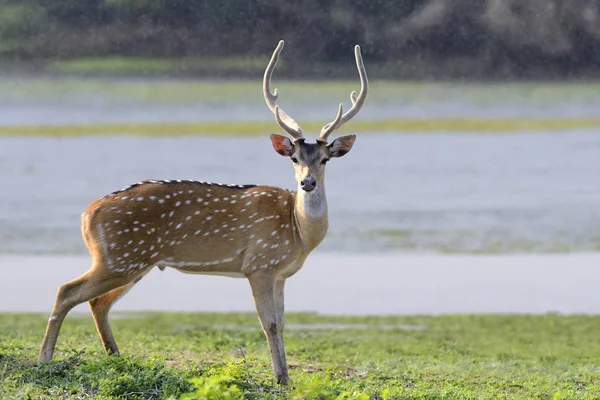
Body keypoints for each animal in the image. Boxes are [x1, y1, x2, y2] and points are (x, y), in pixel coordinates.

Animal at [39, 39, 368, 384]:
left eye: (325, 159)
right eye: (294, 158)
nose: (307, 183)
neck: (298, 233)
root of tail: (87, 214)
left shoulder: (280, 273)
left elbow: (281, 323)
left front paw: (285, 378)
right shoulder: (259, 264)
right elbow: (269, 323)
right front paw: (280, 378)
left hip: (133, 262)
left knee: (97, 302)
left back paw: (116, 357)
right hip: (118, 258)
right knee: (67, 290)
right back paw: (45, 359)